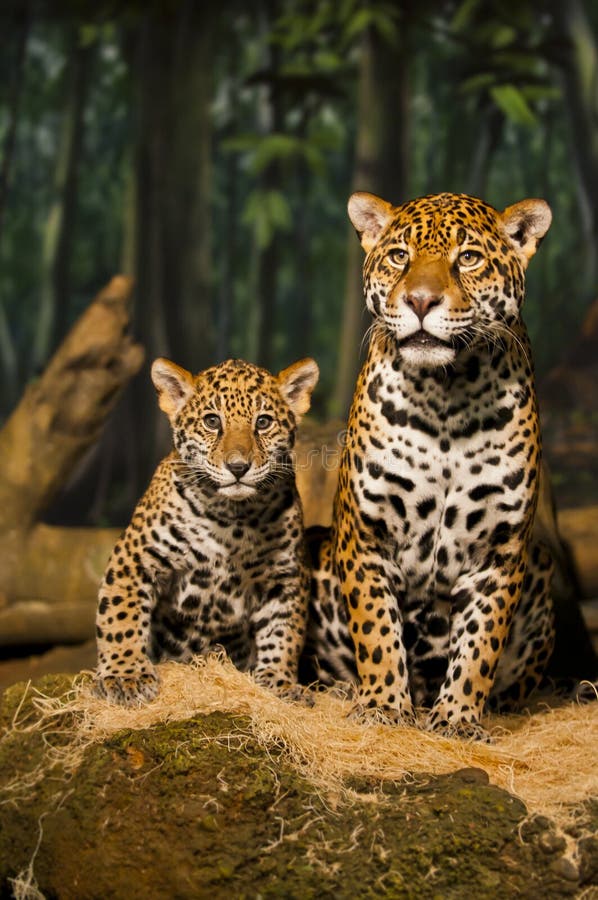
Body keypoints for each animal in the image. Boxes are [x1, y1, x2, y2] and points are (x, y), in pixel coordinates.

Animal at [95, 355, 319, 706]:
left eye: (263, 422)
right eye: (212, 421)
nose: (238, 467)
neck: (232, 517)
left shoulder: (286, 576)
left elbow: (284, 631)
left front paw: (279, 681)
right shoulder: (136, 557)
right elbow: (121, 615)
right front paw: (125, 676)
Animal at [301, 190, 555, 740]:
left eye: (469, 258)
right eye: (400, 256)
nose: (420, 301)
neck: (446, 397)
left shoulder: (500, 551)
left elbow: (480, 644)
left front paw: (458, 718)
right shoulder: (366, 534)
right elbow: (377, 630)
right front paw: (382, 705)